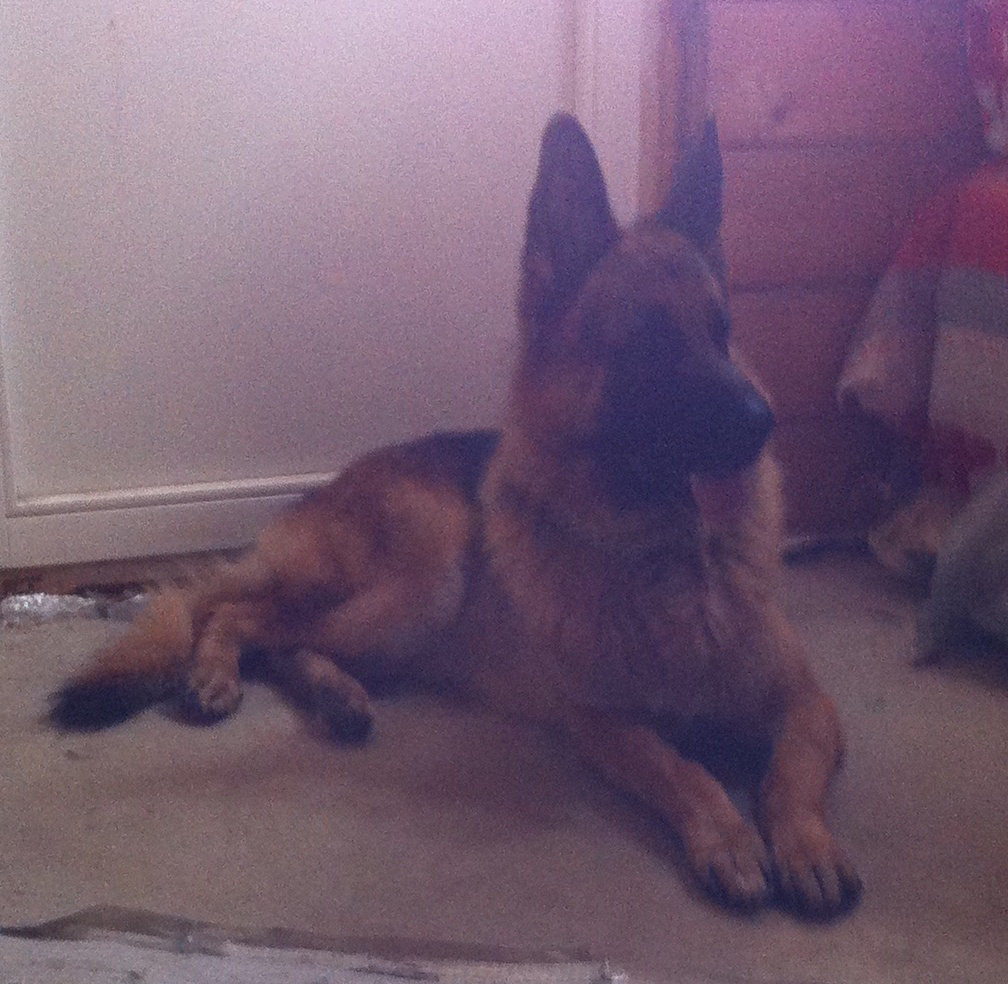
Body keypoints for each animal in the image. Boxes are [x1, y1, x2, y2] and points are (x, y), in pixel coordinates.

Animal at [51, 114, 861, 917]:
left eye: (722, 330)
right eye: (649, 342)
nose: (764, 423)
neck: (674, 565)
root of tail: (330, 486)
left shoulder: (809, 702)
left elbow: (789, 772)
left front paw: (806, 844)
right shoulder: (600, 720)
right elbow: (679, 767)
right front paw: (728, 835)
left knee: (286, 638)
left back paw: (338, 696)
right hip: (428, 581)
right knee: (242, 616)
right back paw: (224, 672)